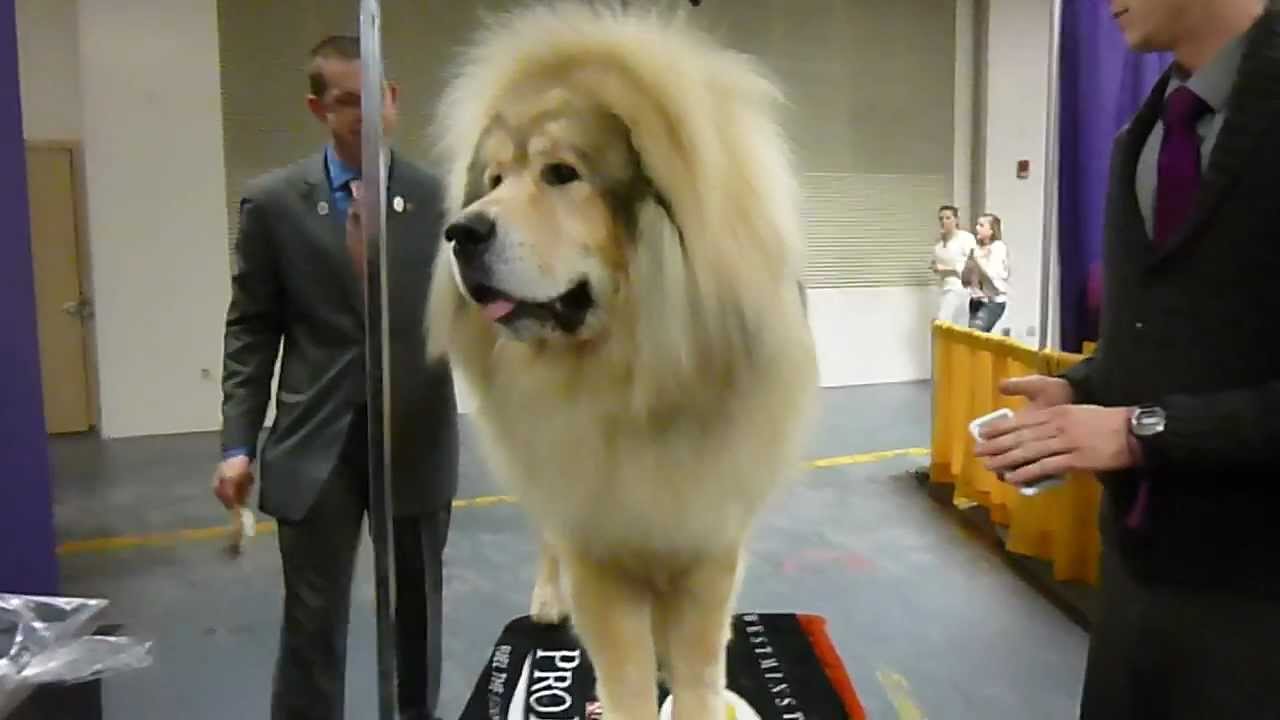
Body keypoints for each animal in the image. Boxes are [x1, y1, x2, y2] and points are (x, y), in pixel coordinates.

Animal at [424, 2, 814, 712]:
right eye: (494, 181)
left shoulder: (706, 544)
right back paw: (547, 598)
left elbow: (696, 669)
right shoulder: (597, 547)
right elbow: (626, 676)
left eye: (560, 174)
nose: (461, 231)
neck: (632, 376)